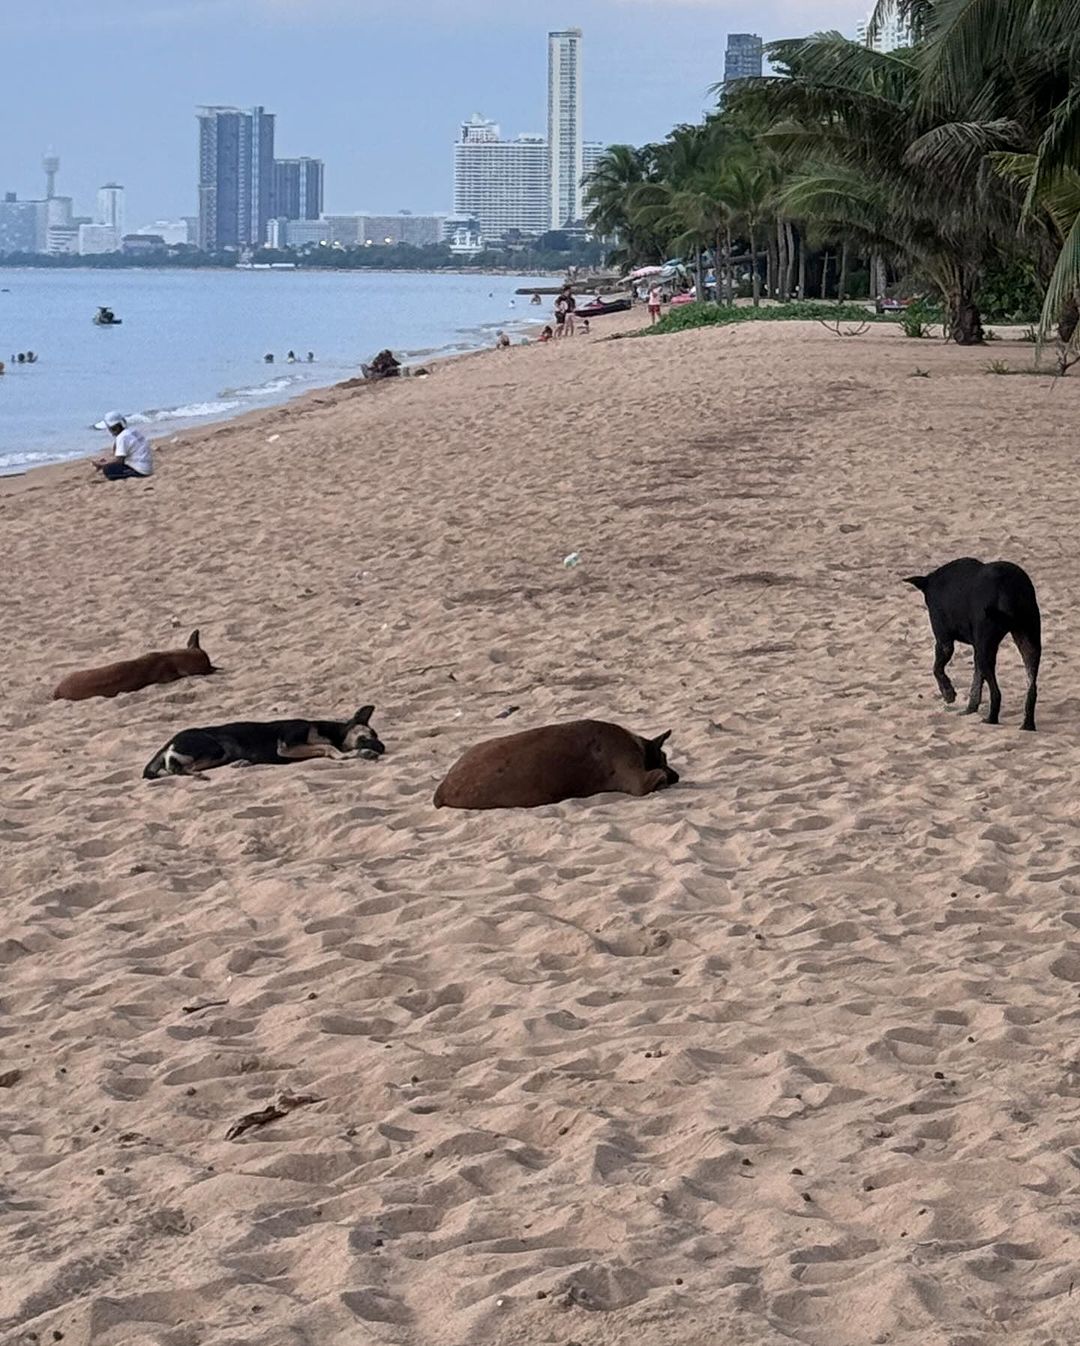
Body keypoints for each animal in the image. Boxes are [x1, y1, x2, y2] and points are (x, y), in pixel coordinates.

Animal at [140, 705, 379, 780]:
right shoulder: (286, 746)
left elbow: (327, 749)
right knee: (176, 766)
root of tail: (170, 740)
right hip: (214, 747)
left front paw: (360, 754)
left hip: (218, 754)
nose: (382, 747)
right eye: (370, 734)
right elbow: (330, 747)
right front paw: (348, 754)